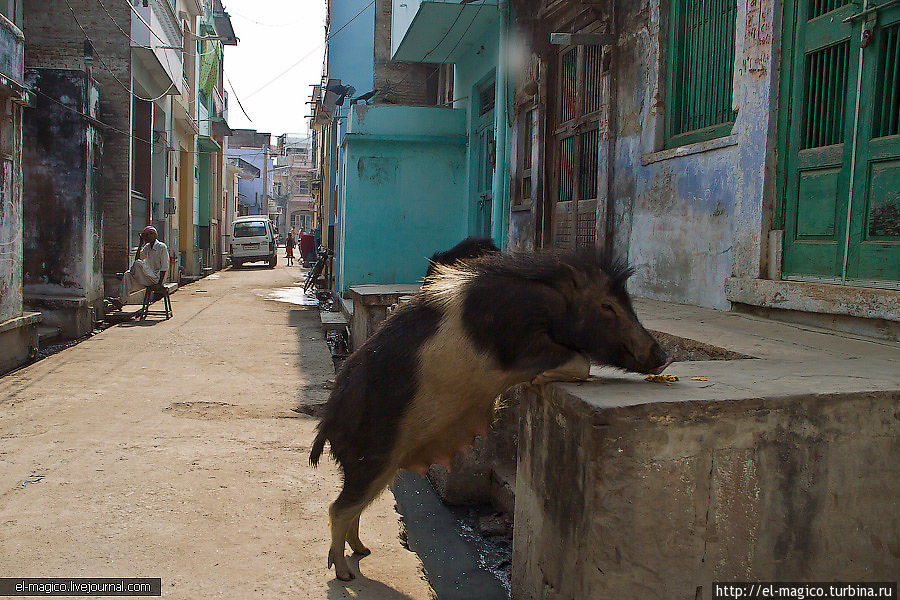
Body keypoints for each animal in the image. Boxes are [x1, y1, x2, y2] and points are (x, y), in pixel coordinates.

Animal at [308, 246, 668, 580]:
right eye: (607, 306)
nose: (663, 355)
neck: (548, 306)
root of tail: (327, 425)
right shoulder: (522, 343)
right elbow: (582, 361)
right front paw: (539, 378)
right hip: (370, 459)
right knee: (338, 508)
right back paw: (344, 573)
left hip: (382, 467)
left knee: (354, 508)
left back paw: (363, 551)